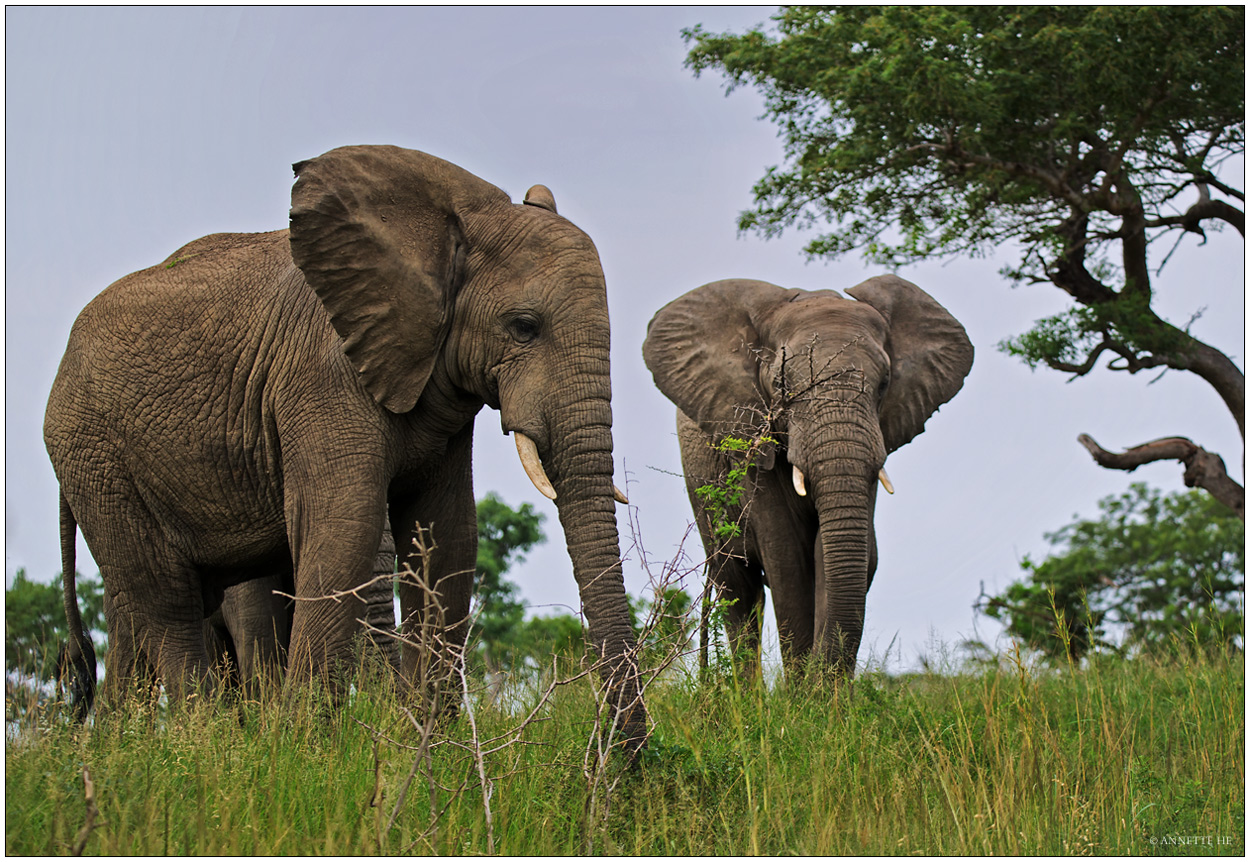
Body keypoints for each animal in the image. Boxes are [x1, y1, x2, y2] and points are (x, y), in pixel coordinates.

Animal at [46, 142, 645, 744]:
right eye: (524, 326)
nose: (628, 756)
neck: (448, 224)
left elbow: (449, 536)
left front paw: (431, 744)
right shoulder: (322, 376)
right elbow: (343, 528)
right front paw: (306, 749)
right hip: (93, 453)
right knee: (165, 600)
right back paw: (203, 745)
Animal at [645, 274, 975, 679]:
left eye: (884, 384)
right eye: (782, 386)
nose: (823, 674)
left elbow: (836, 555)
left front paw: (826, 693)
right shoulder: (754, 444)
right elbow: (789, 561)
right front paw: (804, 691)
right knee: (738, 587)